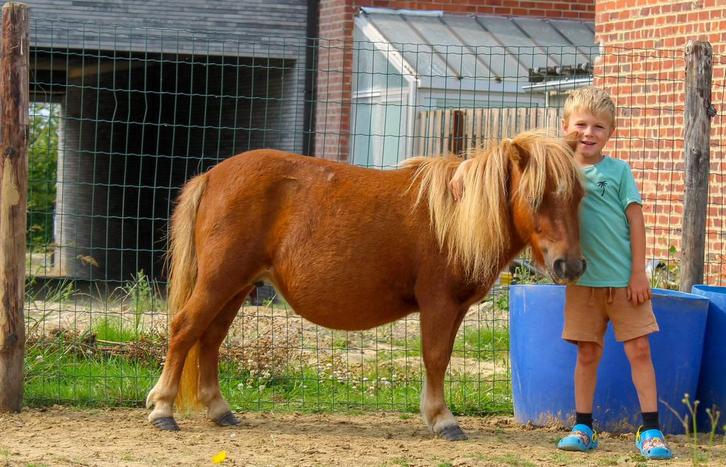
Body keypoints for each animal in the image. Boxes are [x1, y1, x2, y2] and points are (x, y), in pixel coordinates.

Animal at [145, 130, 586, 440]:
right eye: (536, 198)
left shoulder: (455, 308)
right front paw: (442, 419)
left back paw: (219, 410)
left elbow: (439, 359)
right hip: (220, 281)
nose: (571, 264)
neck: (455, 218)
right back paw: (163, 409)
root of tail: (211, 175)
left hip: (237, 287)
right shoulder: (439, 303)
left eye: (578, 197)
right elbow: (436, 358)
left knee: (210, 339)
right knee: (185, 330)